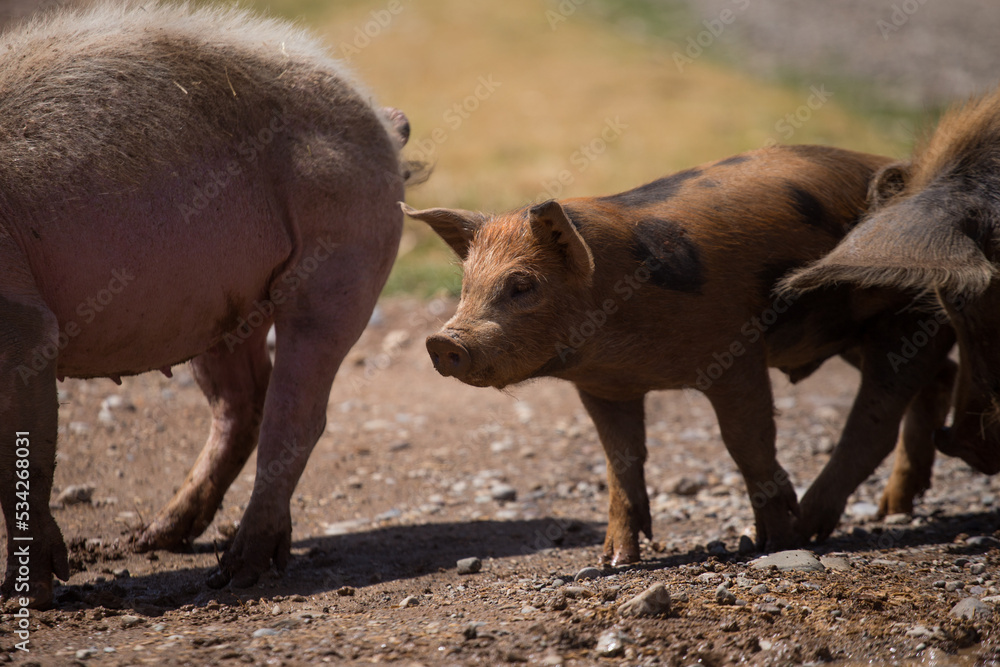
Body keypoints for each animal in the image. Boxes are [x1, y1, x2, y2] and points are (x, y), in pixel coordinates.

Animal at [0, 1, 413, 608]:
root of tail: (381, 118)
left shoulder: (24, 324)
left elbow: (19, 455)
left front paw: (21, 594)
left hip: (337, 264)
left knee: (297, 412)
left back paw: (234, 572)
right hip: (224, 309)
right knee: (241, 403)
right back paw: (152, 539)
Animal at [405, 145, 956, 565]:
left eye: (523, 284)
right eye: (466, 285)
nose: (443, 342)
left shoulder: (736, 354)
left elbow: (746, 444)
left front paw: (769, 542)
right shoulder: (604, 388)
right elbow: (621, 463)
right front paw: (614, 562)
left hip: (898, 316)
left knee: (883, 410)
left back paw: (816, 529)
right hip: (851, 336)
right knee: (937, 375)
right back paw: (892, 508)